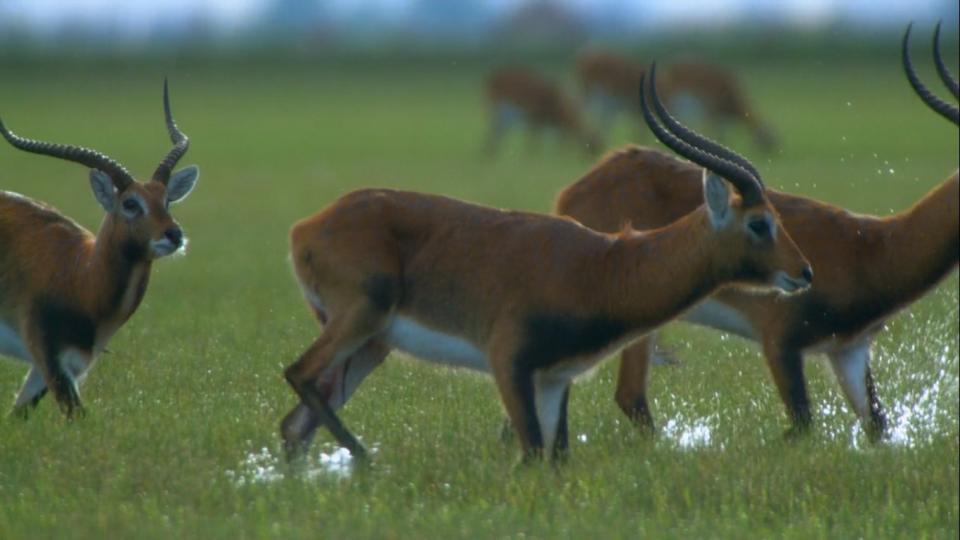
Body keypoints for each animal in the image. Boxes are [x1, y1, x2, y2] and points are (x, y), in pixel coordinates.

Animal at [0, 79, 199, 418]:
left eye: (167, 200)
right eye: (130, 203)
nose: (174, 234)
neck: (81, 273)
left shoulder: (58, 368)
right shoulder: (51, 362)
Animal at [282, 70, 812, 464]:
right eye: (760, 223)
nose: (804, 272)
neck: (604, 268)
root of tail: (307, 227)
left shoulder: (554, 380)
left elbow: (555, 459)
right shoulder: (509, 363)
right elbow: (534, 453)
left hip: (373, 345)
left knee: (294, 424)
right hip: (360, 320)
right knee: (298, 374)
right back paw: (366, 462)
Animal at [560, 25, 956, 440]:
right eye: (759, 223)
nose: (805, 273)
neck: (872, 247)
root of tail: (576, 191)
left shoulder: (849, 351)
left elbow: (877, 425)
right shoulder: (781, 342)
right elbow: (801, 423)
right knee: (629, 395)